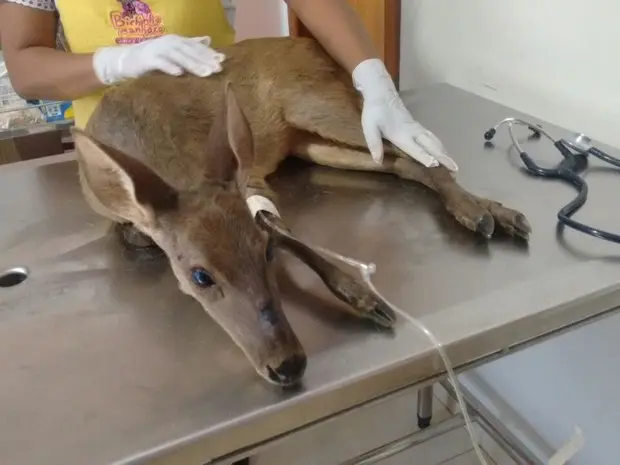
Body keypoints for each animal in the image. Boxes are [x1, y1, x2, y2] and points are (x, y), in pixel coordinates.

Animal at [70, 36, 532, 386]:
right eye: (200, 276)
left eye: (263, 253)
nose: (287, 365)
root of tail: (310, 46)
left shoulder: (246, 177)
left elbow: (277, 225)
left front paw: (361, 294)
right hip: (310, 143)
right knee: (402, 162)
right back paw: (490, 213)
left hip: (321, 106)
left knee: (416, 151)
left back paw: (487, 213)